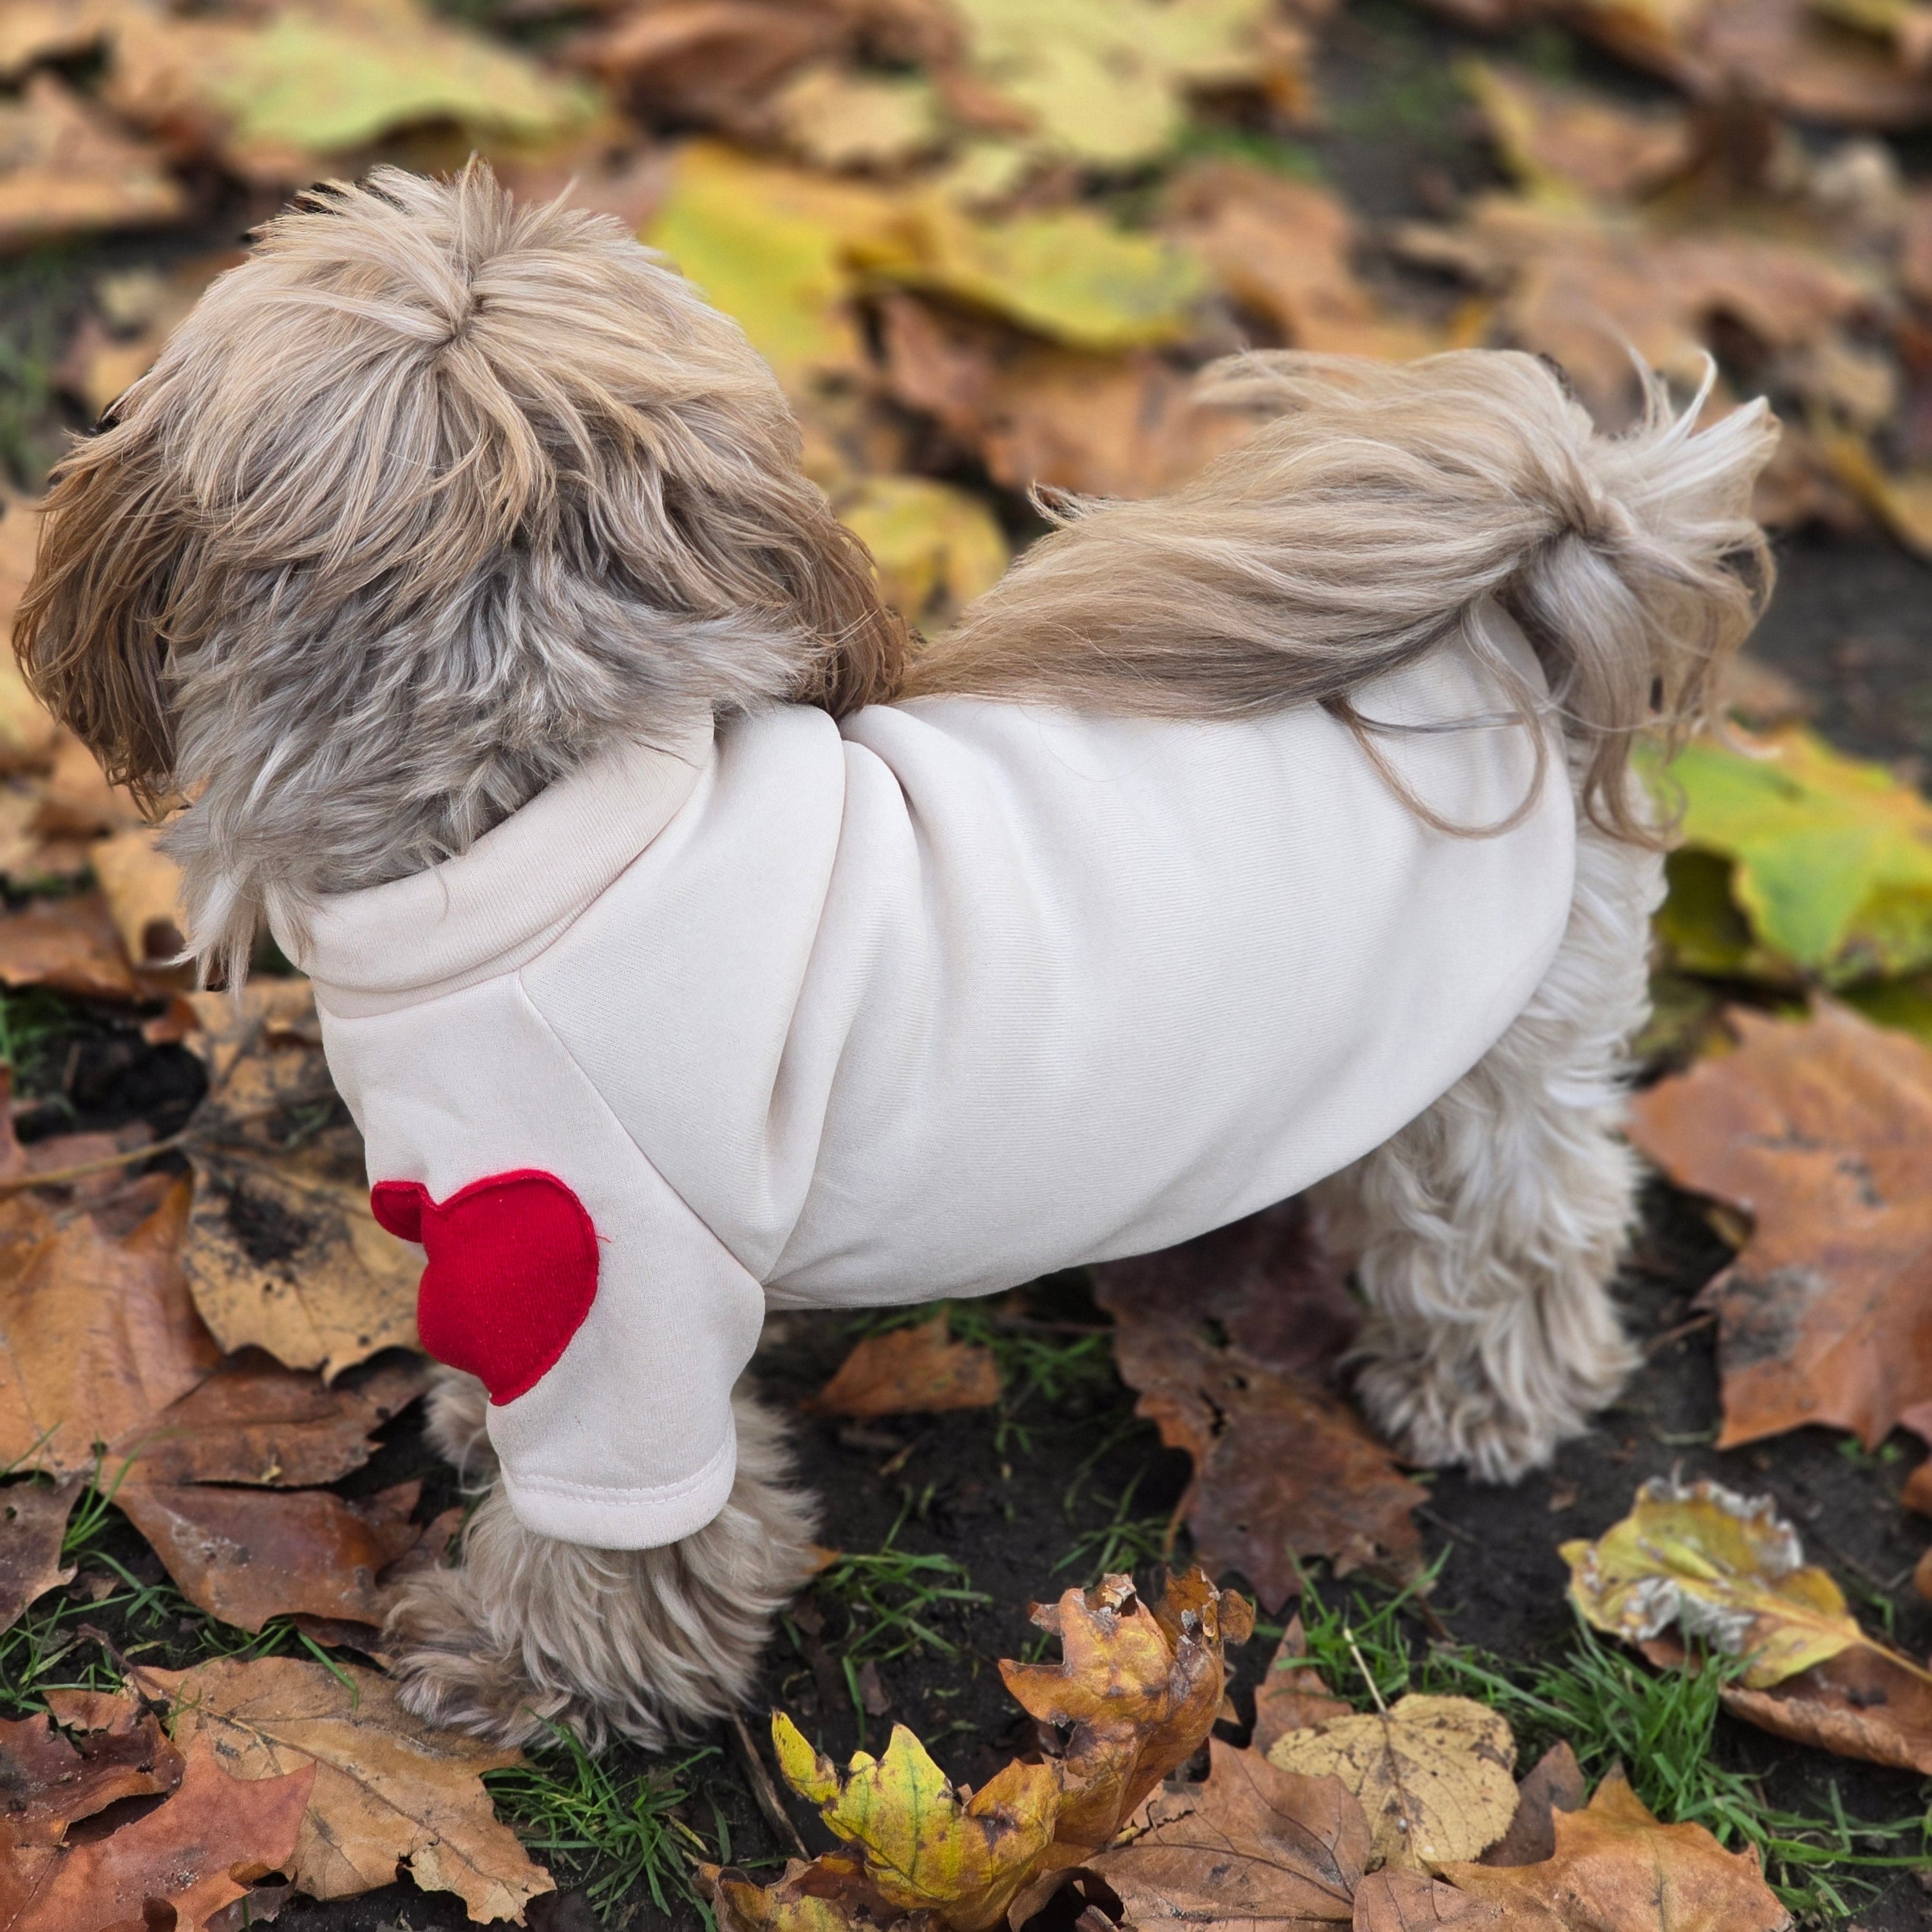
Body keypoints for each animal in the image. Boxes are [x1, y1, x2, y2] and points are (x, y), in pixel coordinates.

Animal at [11, 166, 1777, 1754]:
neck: (538, 805)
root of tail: (1517, 632)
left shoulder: (612, 1289)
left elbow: (624, 1549)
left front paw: (524, 1671)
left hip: (1492, 1069)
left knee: (1523, 1224)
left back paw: (1487, 1393)